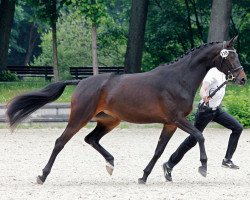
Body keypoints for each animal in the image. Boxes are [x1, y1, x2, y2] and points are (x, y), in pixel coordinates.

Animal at [5, 36, 246, 184]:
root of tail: (81, 82)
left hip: (109, 121)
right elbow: (199, 136)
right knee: (60, 142)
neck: (178, 79)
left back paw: (110, 163)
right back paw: (42, 175)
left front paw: (144, 176)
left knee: (91, 139)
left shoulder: (169, 123)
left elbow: (159, 150)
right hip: (79, 118)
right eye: (230, 55)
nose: (242, 79)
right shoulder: (177, 119)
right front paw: (203, 167)